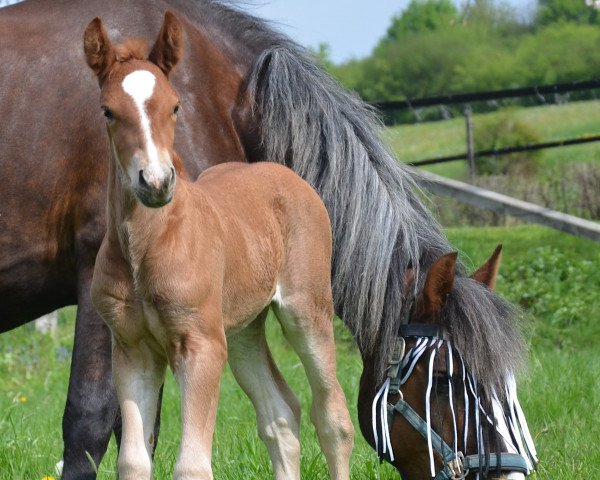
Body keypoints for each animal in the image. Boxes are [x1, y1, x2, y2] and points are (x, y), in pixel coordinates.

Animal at [86, 13, 354, 478]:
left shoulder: (201, 344)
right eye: (108, 111)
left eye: (175, 106)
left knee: (331, 414)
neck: (148, 246)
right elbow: (133, 461)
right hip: (244, 328)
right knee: (281, 414)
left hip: (306, 310)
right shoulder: (133, 350)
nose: (156, 182)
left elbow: (192, 466)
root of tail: (284, 173)